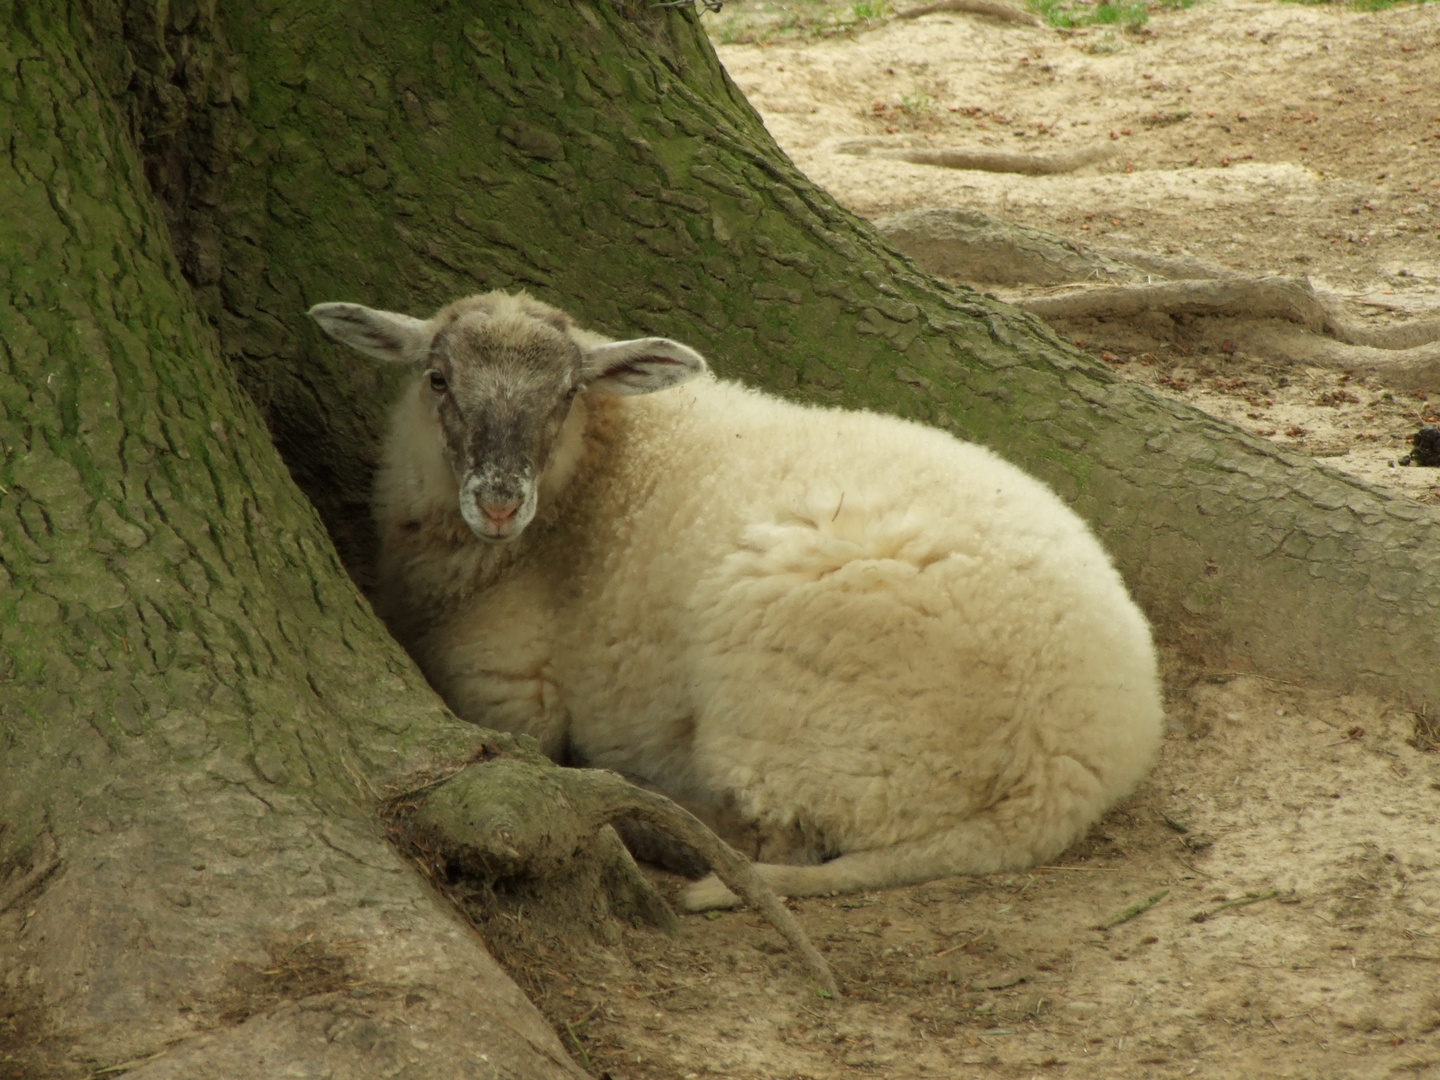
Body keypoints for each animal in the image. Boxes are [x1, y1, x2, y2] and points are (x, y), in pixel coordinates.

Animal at [309, 289, 1163, 915]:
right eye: (438, 379)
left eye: (566, 392)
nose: (497, 501)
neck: (595, 474)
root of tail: (1069, 775)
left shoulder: (505, 687)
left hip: (802, 718)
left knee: (775, 842)